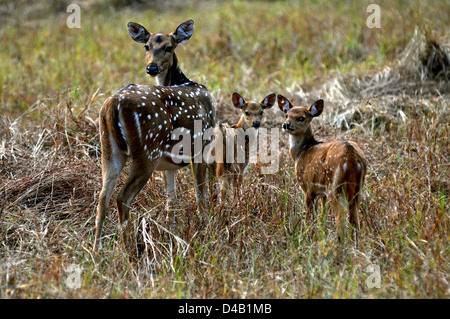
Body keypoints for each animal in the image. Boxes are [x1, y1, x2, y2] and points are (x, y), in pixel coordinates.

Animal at [94, 19, 215, 252]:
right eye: (146, 47)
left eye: (169, 47)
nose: (151, 67)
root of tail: (112, 104)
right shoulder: (201, 146)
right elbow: (201, 194)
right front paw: (205, 228)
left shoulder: (169, 164)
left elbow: (171, 200)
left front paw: (172, 234)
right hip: (146, 150)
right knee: (122, 197)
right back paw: (128, 250)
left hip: (109, 149)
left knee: (103, 196)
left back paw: (96, 249)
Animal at [278, 95, 370, 242]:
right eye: (287, 115)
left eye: (301, 118)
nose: (286, 124)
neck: (300, 154)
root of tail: (351, 158)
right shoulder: (322, 193)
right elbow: (322, 215)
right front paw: (321, 234)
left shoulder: (308, 187)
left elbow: (311, 217)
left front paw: (310, 237)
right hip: (358, 188)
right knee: (354, 219)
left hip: (335, 186)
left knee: (341, 217)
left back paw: (339, 243)